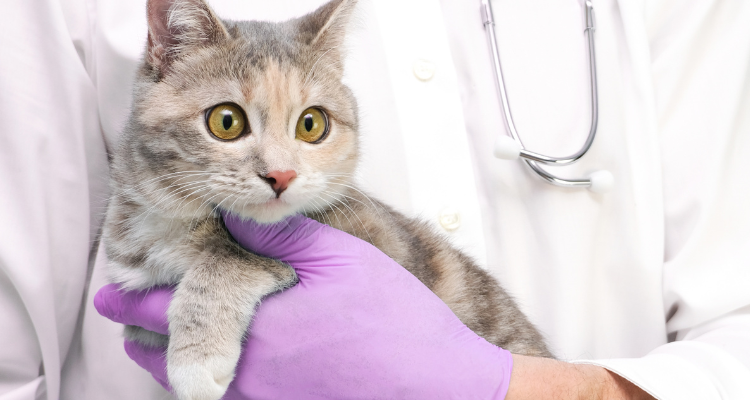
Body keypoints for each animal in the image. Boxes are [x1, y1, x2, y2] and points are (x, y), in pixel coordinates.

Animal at [103, 0, 552, 398]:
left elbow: (231, 259)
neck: (174, 220)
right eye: (226, 121)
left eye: (311, 124)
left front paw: (196, 359)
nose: (281, 174)